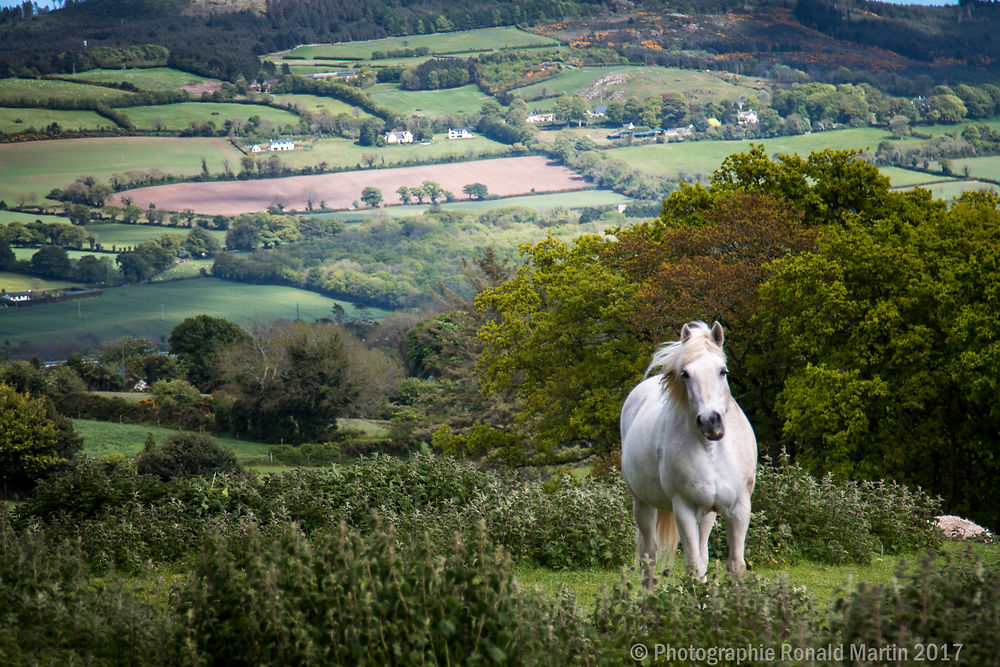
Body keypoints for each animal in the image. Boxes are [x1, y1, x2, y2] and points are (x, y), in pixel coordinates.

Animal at [620, 320, 752, 588]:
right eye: (686, 374)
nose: (711, 421)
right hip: (643, 504)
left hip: (708, 514)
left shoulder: (740, 508)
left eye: (723, 371)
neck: (712, 452)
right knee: (649, 555)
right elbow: (695, 567)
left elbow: (735, 566)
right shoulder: (684, 509)